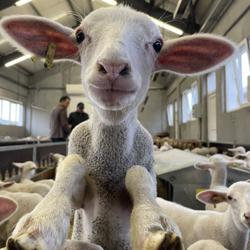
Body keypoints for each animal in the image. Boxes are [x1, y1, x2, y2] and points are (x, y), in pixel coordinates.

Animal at [0, 3, 235, 250]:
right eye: (79, 35)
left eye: (158, 44)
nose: (113, 66)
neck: (109, 169)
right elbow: (70, 170)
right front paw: (37, 228)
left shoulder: (146, 170)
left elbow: (139, 176)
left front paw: (156, 227)